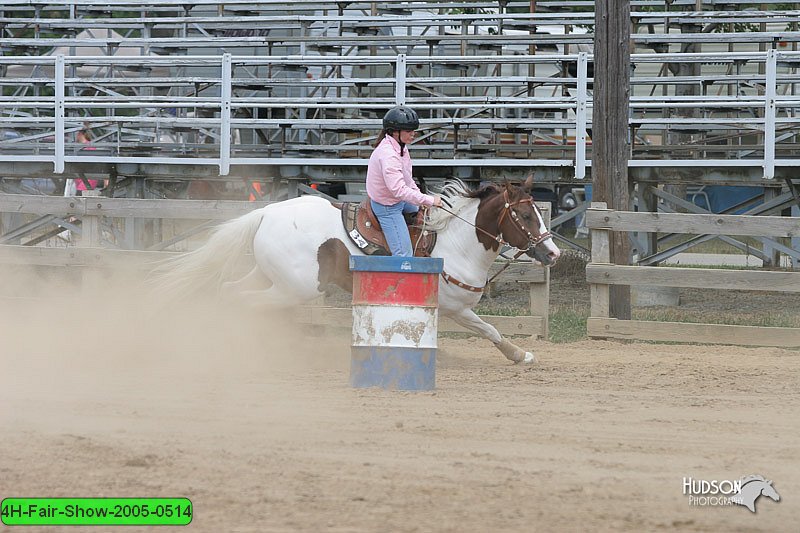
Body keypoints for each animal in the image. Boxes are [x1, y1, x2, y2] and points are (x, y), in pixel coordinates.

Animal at [153, 177, 560, 364]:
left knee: (231, 292)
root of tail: (266, 212)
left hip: (268, 276)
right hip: (295, 287)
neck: (453, 243)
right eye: (525, 216)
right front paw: (519, 356)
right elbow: (487, 328)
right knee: (247, 302)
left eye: (538, 212)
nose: (553, 252)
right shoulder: (456, 308)